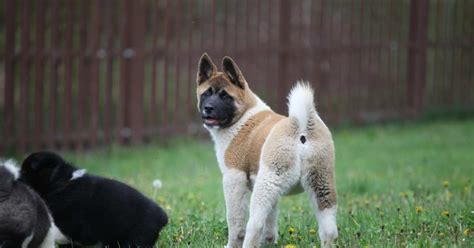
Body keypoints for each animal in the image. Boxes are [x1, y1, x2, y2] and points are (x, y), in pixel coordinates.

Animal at [19, 151, 168, 248]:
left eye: (25, 173)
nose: (16, 180)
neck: (62, 183)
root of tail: (162, 216)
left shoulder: (69, 225)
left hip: (137, 236)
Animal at [195, 53, 336, 247]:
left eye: (225, 96)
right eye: (207, 93)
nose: (208, 108)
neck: (243, 115)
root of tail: (299, 129)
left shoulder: (234, 179)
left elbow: (235, 222)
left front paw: (232, 244)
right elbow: (271, 220)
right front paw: (269, 241)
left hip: (266, 184)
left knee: (254, 225)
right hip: (321, 184)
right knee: (329, 229)